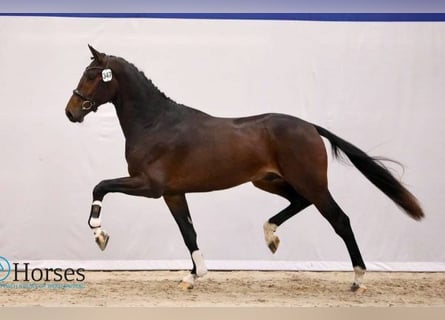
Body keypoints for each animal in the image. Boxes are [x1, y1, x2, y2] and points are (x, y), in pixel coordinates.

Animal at [65, 45, 424, 292]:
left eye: (92, 75)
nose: (71, 112)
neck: (155, 123)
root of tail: (310, 127)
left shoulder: (150, 186)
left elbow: (100, 186)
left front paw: (100, 234)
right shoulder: (173, 193)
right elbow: (188, 233)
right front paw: (193, 276)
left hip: (311, 183)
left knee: (340, 220)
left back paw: (358, 279)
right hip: (268, 181)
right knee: (299, 202)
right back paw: (271, 236)